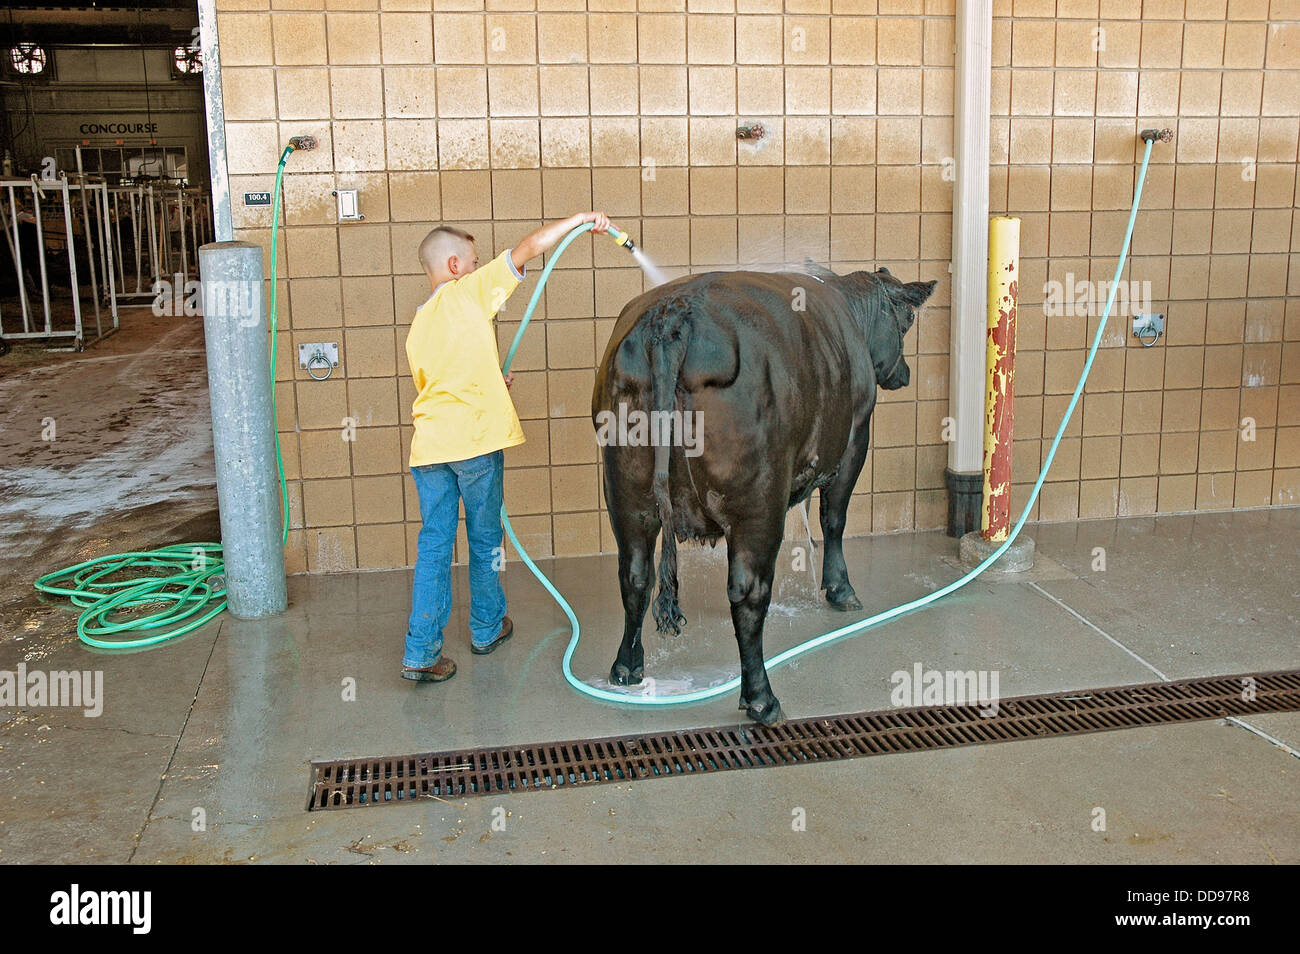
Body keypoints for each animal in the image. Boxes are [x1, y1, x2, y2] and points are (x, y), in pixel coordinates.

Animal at [591, 265, 937, 725]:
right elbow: (834, 518)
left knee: (635, 576)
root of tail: (673, 315)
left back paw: (627, 668)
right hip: (757, 503)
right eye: (906, 321)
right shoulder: (853, 442)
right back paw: (761, 698)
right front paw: (840, 589)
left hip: (626, 495)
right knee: (747, 592)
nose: (905, 373)